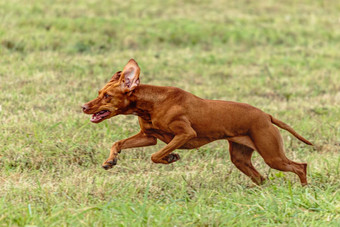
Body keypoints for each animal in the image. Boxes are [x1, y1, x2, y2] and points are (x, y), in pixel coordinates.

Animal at [81, 59, 310, 185]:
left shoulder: (184, 134)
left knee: (301, 166)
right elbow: (118, 143)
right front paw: (110, 160)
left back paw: (304, 189)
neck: (153, 103)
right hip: (240, 158)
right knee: (262, 178)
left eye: (107, 96)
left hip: (273, 156)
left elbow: (156, 156)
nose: (84, 106)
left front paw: (170, 157)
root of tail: (266, 115)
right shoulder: (148, 137)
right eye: (99, 92)